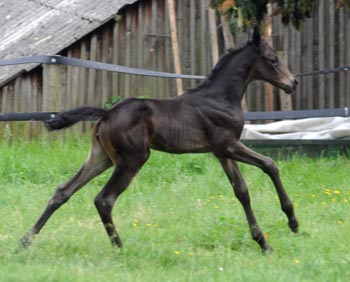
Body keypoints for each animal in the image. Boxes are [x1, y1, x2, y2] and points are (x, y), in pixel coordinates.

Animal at [21, 26, 298, 251]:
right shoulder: (228, 145)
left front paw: (263, 242)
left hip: (101, 158)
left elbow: (241, 191)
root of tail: (107, 113)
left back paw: (25, 240)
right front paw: (292, 221)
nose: (293, 83)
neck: (220, 97)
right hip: (133, 159)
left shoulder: (221, 152)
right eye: (273, 60)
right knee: (104, 199)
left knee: (63, 191)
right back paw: (120, 247)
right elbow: (270, 165)